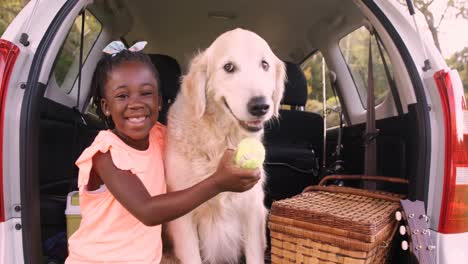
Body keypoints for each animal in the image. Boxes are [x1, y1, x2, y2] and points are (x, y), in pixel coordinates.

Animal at [166, 27, 288, 262]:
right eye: (228, 67)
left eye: (264, 64)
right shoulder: (182, 218)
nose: (260, 106)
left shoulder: (253, 211)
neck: (221, 140)